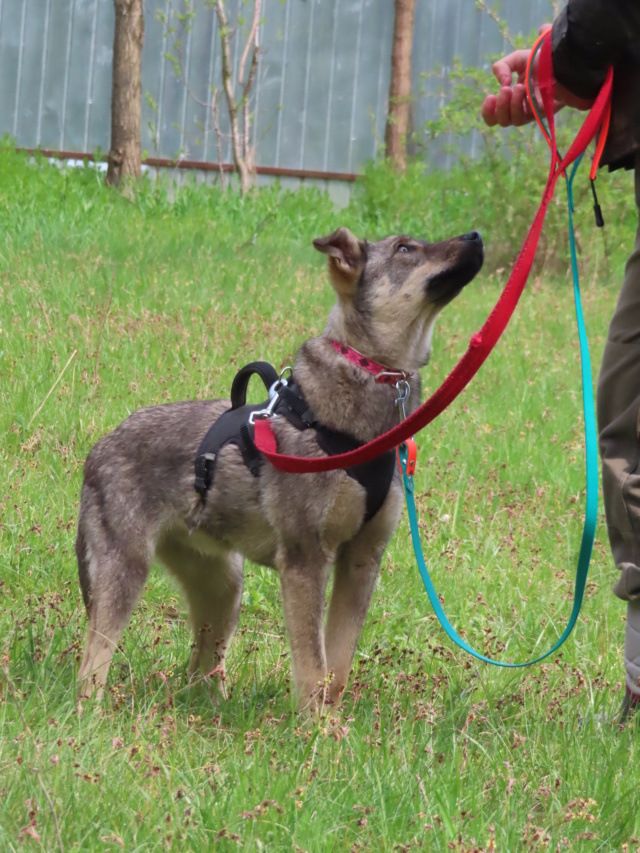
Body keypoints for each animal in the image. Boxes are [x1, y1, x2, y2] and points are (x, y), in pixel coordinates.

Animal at [75, 223, 482, 708]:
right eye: (405, 249)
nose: (477, 236)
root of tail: (100, 448)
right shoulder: (306, 561)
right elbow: (312, 667)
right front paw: (316, 725)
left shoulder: (361, 562)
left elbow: (337, 668)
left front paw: (333, 721)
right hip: (125, 576)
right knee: (92, 665)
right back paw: (91, 713)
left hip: (223, 589)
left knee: (201, 668)